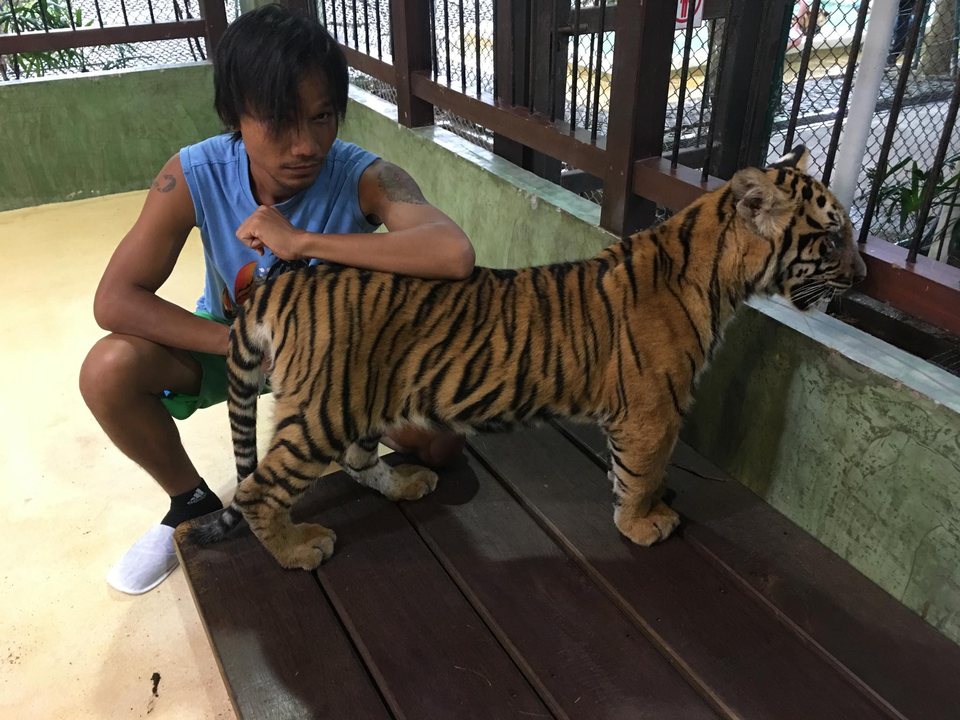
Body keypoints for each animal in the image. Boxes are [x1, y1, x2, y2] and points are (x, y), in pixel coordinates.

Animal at [187, 146, 866, 570]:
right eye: (833, 237)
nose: (860, 277)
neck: (718, 275)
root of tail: (281, 283)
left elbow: (631, 470)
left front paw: (639, 503)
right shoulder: (653, 410)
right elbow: (642, 471)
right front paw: (642, 523)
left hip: (357, 399)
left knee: (355, 463)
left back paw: (404, 481)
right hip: (324, 409)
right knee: (260, 490)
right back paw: (298, 551)